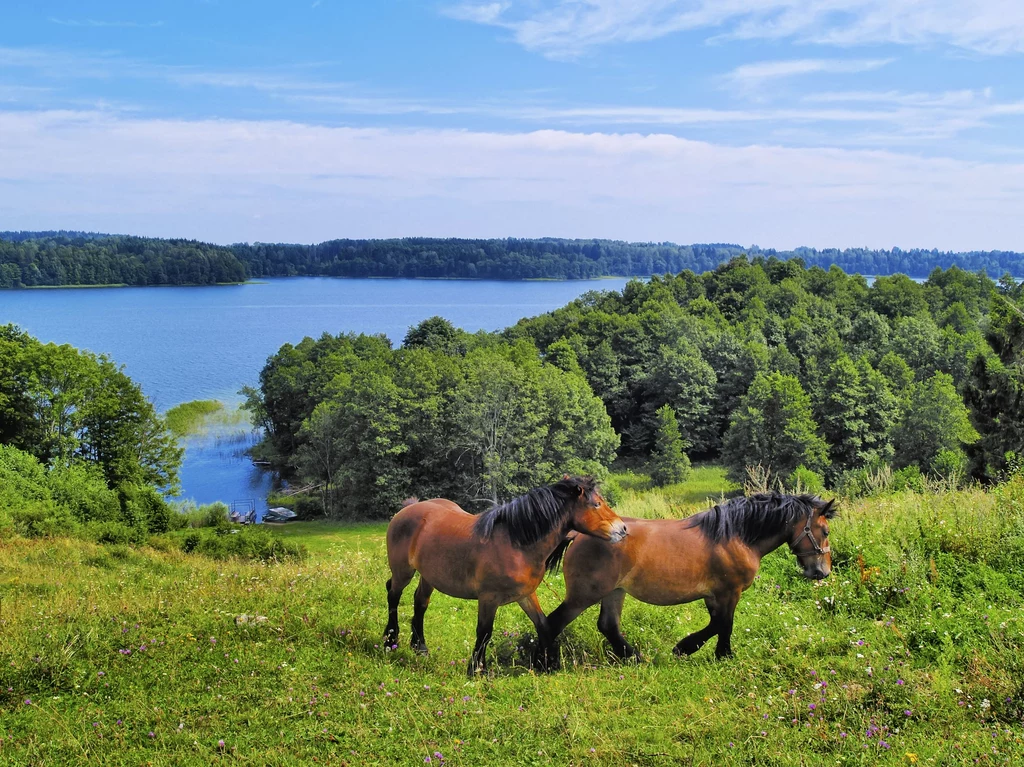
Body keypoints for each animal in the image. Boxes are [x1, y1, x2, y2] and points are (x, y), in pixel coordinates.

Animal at [382, 475, 622, 671]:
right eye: (597, 504)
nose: (623, 529)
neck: (516, 542)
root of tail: (408, 509)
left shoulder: (526, 595)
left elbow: (543, 624)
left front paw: (548, 664)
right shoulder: (489, 598)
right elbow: (484, 632)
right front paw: (477, 669)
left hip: (428, 575)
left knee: (420, 601)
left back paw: (420, 646)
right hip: (403, 571)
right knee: (393, 596)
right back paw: (389, 641)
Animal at [540, 491, 835, 663]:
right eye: (825, 531)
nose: (822, 572)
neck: (735, 535)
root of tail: (577, 535)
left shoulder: (715, 595)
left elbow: (717, 624)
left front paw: (700, 650)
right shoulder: (729, 592)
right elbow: (724, 624)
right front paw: (707, 652)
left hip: (614, 591)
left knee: (608, 626)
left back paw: (634, 657)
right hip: (585, 594)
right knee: (553, 622)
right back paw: (544, 662)